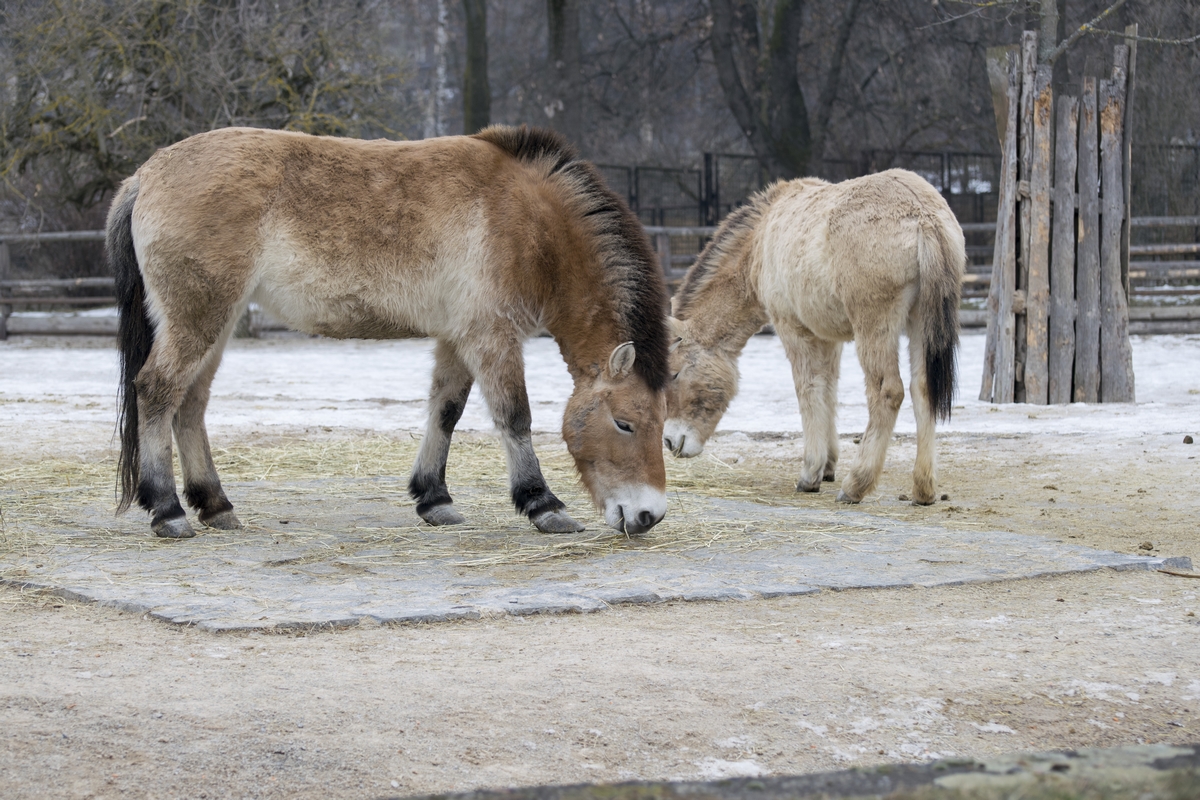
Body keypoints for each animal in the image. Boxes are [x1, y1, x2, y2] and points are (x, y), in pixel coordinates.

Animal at [108, 125, 672, 537]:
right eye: (625, 423)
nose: (648, 516)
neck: (530, 223)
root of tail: (145, 175)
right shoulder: (491, 337)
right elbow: (515, 418)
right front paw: (543, 505)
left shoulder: (458, 338)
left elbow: (445, 411)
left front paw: (434, 498)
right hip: (199, 318)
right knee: (157, 392)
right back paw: (168, 511)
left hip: (217, 324)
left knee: (190, 404)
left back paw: (215, 505)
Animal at [667, 171, 964, 503]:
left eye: (675, 373)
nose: (669, 442)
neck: (760, 239)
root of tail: (924, 215)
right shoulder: (828, 338)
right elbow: (828, 389)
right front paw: (829, 464)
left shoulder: (793, 330)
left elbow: (807, 390)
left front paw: (810, 473)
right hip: (919, 322)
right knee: (922, 389)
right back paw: (923, 488)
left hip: (875, 327)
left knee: (888, 393)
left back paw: (856, 484)